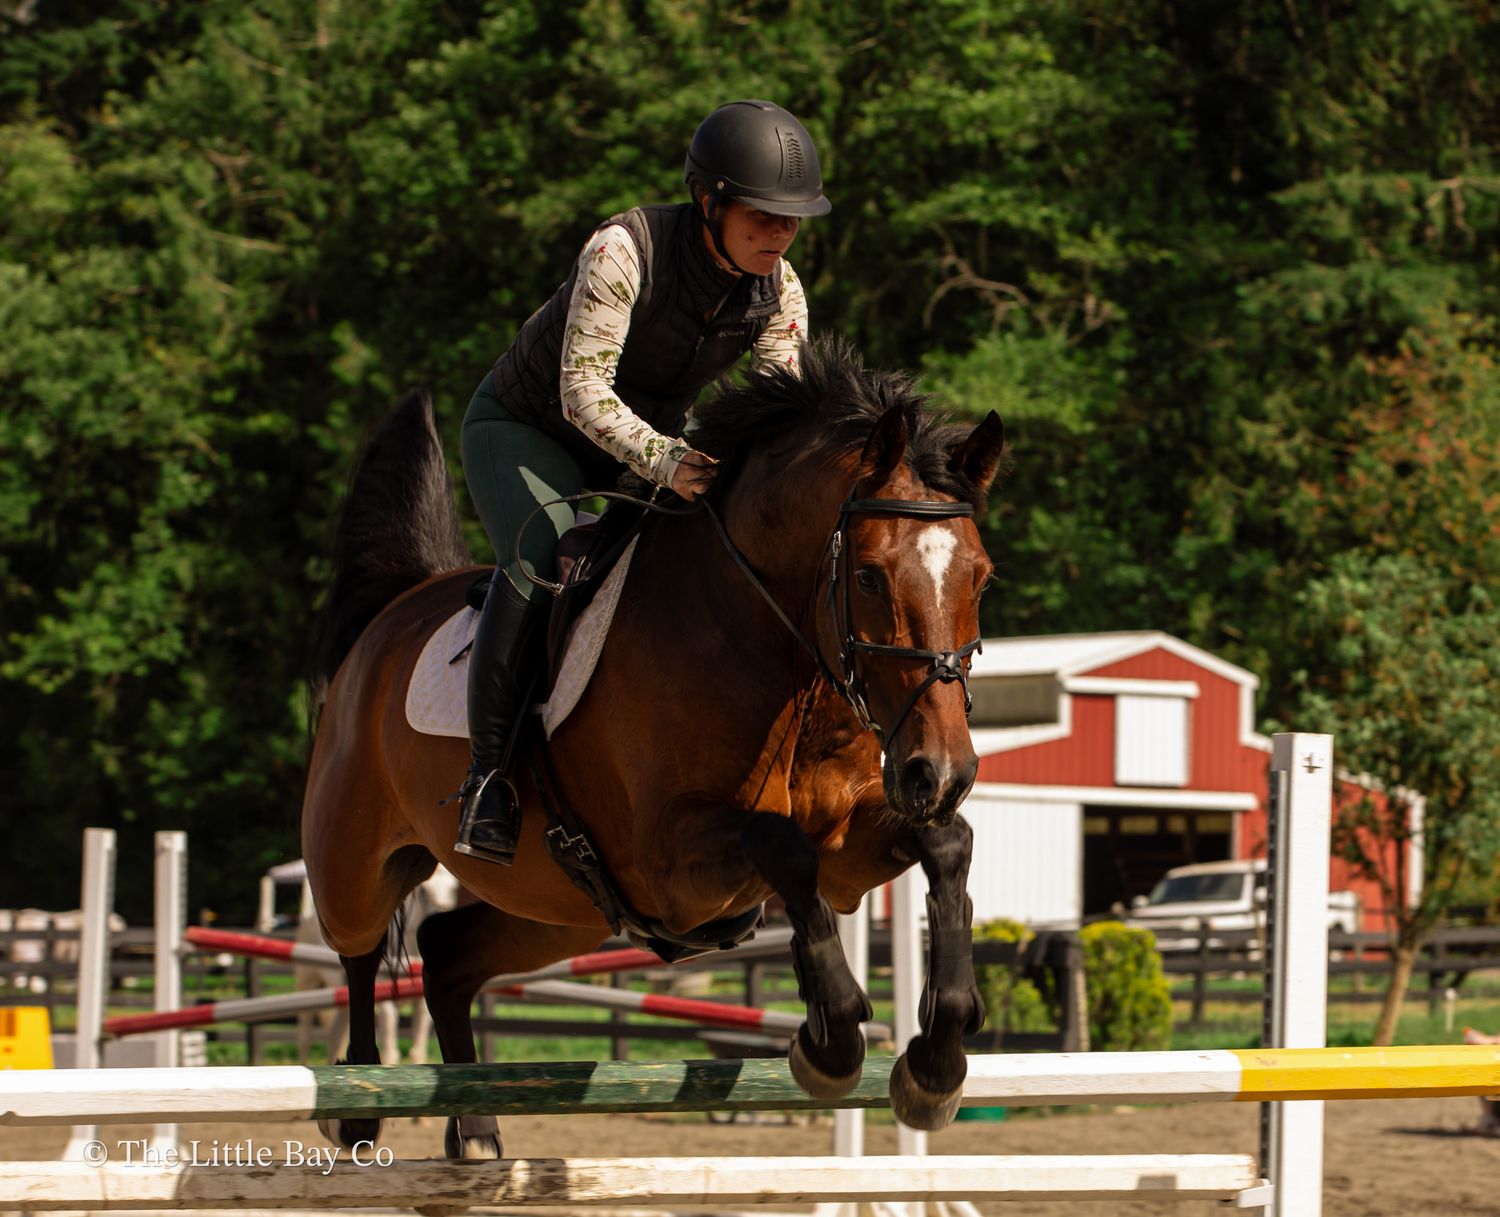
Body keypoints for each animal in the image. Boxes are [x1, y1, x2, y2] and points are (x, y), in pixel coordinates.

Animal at [301, 337, 1007, 1161]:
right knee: (357, 949)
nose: (943, 772)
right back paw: (356, 1105)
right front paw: (830, 1042)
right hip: (354, 858)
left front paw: (936, 1061)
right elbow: (783, 845)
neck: (769, 648)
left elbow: (945, 844)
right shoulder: (671, 863)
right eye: (867, 575)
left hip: (555, 910)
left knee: (444, 953)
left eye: (981, 578)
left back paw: (474, 1129)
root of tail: (394, 610)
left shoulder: (847, 854)